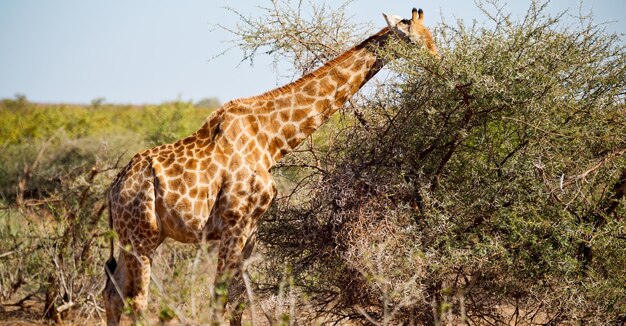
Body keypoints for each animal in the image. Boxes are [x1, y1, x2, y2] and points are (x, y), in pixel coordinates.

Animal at [101, 6, 434, 324]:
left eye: (431, 37)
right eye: (413, 40)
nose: (437, 61)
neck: (273, 140)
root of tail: (114, 188)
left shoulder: (251, 229)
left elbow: (237, 300)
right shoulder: (234, 224)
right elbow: (219, 299)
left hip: (137, 237)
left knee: (112, 293)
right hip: (141, 237)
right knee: (137, 300)